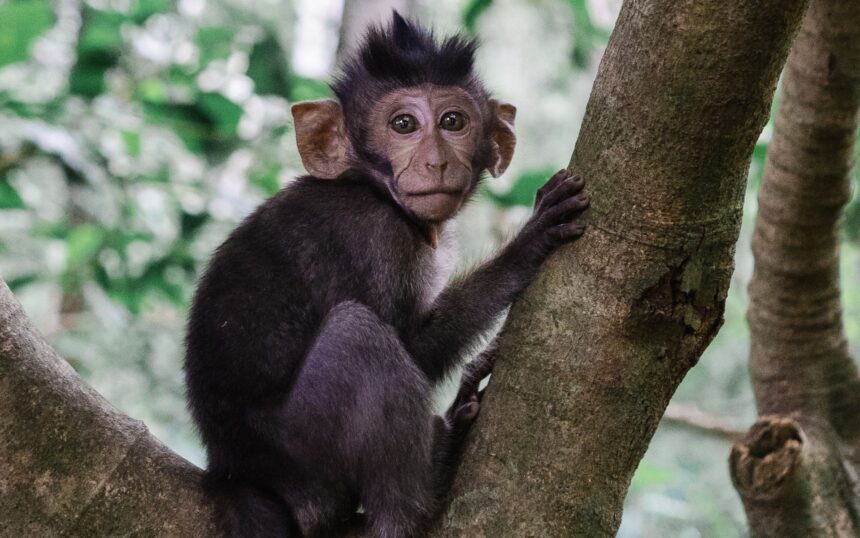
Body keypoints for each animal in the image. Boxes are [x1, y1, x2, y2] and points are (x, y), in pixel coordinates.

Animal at [184, 12, 589, 538]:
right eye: (403, 125)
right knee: (357, 334)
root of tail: (232, 471)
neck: (369, 186)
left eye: (453, 121)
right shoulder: (374, 234)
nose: (436, 160)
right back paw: (426, 481)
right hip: (305, 453)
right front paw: (529, 243)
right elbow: (414, 345)